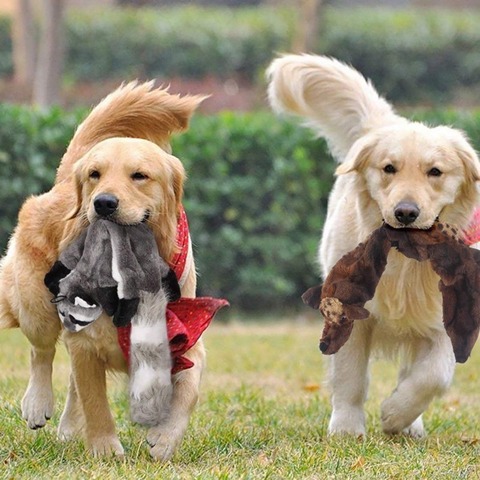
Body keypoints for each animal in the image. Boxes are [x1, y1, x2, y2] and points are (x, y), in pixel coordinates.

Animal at [0, 80, 206, 460]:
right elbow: (95, 401)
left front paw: (164, 439)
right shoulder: (86, 343)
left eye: (139, 176)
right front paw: (106, 449)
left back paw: (68, 427)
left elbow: (189, 391)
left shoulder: (188, 339)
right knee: (42, 352)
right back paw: (38, 404)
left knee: (69, 379)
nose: (104, 202)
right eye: (95, 175)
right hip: (36, 306)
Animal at [266, 55, 480, 438]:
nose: (406, 212)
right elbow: (350, 377)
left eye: (435, 172)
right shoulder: (345, 309)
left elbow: (434, 376)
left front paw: (396, 414)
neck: (405, 262)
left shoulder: (447, 316)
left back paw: (411, 425)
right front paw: (347, 428)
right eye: (389, 168)